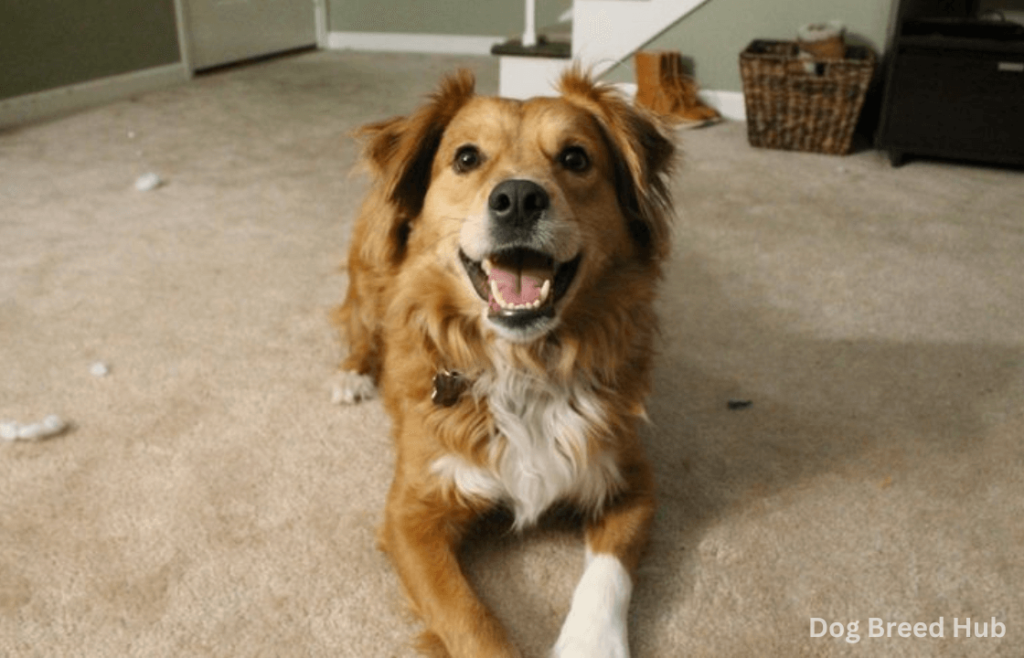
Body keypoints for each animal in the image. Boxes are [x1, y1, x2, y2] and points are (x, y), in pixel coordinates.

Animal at [331, 68, 675, 658]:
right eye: (467, 158)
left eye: (576, 158)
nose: (517, 198)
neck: (524, 365)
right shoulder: (410, 517)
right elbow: (470, 619)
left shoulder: (631, 480)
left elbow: (608, 576)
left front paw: (591, 644)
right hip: (369, 267)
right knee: (359, 325)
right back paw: (353, 373)